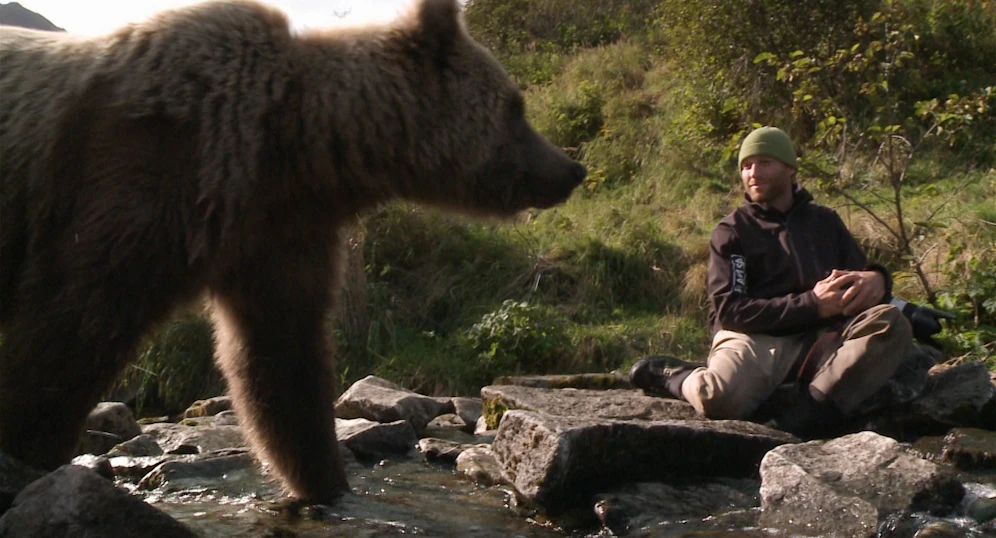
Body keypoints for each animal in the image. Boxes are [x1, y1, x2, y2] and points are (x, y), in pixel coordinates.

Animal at [0, 0, 585, 504]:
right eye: (515, 106)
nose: (571, 169)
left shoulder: (274, 234)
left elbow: (282, 359)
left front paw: (326, 484)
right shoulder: (143, 175)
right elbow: (72, 327)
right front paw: (28, 451)